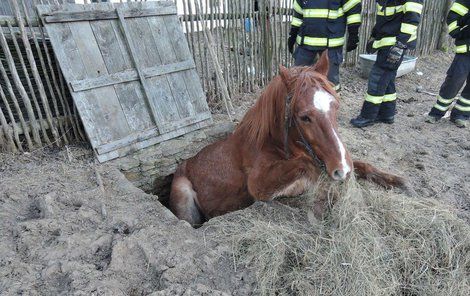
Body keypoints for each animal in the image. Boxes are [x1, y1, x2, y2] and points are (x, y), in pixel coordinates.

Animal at [169, 52, 404, 225]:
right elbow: (309, 168)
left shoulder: (324, 158)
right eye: (304, 117)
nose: (342, 170)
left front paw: (396, 181)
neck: (269, 143)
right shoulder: (260, 186)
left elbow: (360, 164)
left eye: (335, 106)